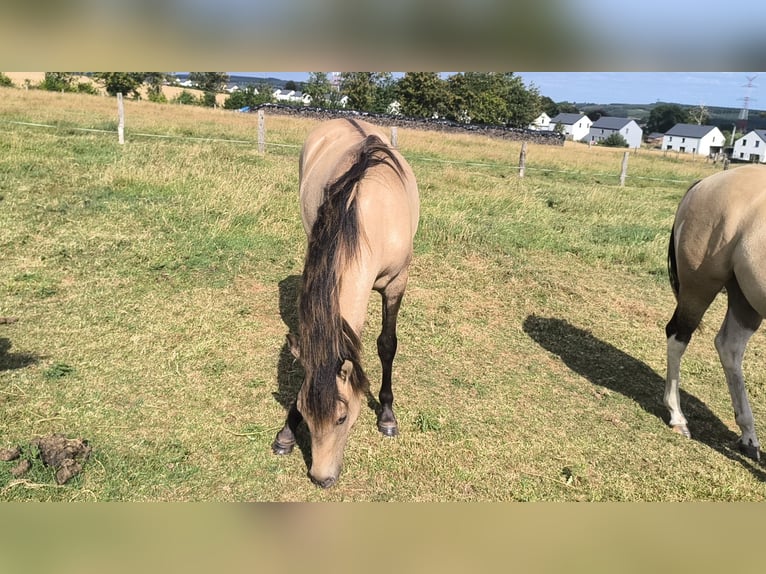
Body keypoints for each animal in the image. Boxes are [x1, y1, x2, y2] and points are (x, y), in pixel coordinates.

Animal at [272, 118, 420, 488]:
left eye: (341, 417)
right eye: (305, 412)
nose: (320, 478)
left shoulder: (396, 284)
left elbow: (387, 344)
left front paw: (387, 415)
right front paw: (286, 433)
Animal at [665, 164, 766, 461]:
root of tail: (705, 183)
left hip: (745, 298)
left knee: (729, 347)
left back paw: (749, 436)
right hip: (700, 286)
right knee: (678, 336)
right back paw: (678, 418)